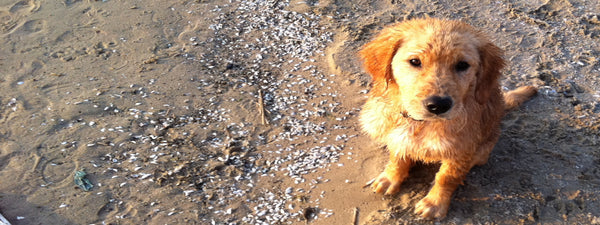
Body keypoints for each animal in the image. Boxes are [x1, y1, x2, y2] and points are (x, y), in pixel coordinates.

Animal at [358, 18, 536, 219]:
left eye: (462, 65)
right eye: (415, 61)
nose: (438, 105)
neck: (421, 124)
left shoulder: (460, 150)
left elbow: (446, 177)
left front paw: (434, 203)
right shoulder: (397, 136)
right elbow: (397, 157)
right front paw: (390, 178)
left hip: (484, 148)